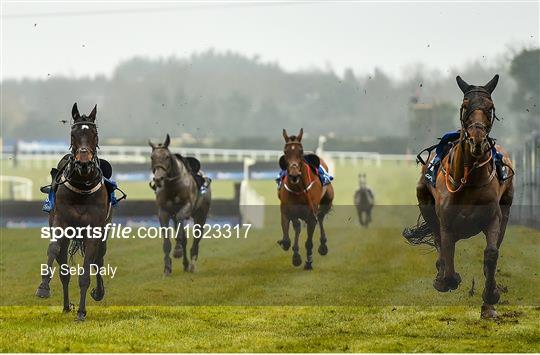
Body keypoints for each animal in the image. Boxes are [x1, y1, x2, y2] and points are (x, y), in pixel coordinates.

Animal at [35, 103, 109, 322]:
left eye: (94, 133)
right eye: (73, 133)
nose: (84, 162)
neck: (83, 187)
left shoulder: (94, 231)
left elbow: (87, 271)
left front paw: (82, 312)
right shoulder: (60, 222)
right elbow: (53, 249)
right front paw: (43, 287)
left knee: (99, 259)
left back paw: (98, 292)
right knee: (64, 269)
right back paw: (67, 305)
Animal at [151, 134, 214, 276]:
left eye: (167, 157)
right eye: (152, 157)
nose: (158, 179)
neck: (173, 186)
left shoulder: (186, 207)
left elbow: (181, 226)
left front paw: (178, 250)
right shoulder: (163, 212)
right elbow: (167, 240)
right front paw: (167, 268)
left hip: (201, 215)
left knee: (196, 238)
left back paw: (192, 264)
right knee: (184, 237)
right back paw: (185, 264)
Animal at [278, 129, 334, 272]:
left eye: (301, 151)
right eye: (285, 151)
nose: (294, 174)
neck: (297, 189)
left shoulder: (310, 215)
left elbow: (309, 242)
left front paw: (308, 262)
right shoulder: (286, 212)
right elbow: (287, 241)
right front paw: (296, 256)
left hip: (326, 202)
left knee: (320, 217)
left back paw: (323, 246)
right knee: (298, 227)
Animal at [410, 75, 516, 320]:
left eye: (490, 107)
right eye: (465, 106)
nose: (477, 139)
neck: (470, 180)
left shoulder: (493, 217)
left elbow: (491, 253)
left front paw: (491, 296)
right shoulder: (447, 223)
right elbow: (447, 254)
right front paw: (446, 279)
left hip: (506, 208)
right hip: (425, 202)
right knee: (439, 242)